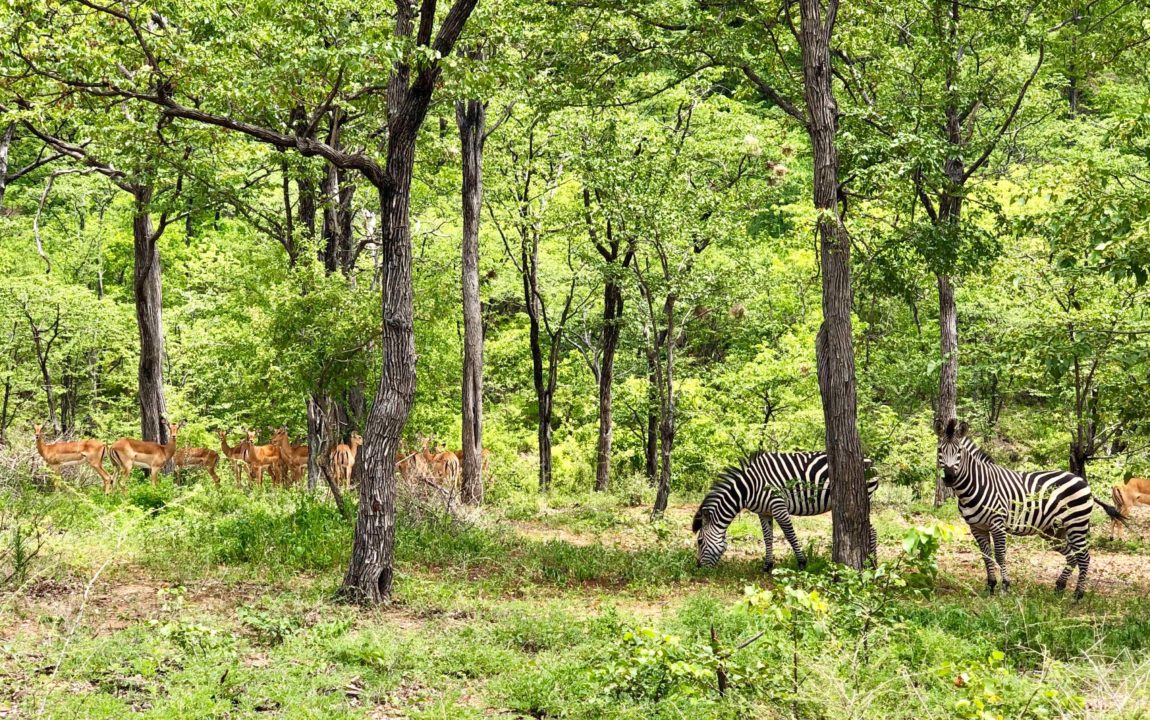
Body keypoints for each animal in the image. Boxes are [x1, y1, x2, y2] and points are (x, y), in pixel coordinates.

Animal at [690, 448, 878, 572]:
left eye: (699, 541)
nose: (698, 567)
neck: (748, 488)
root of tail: (869, 460)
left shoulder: (778, 506)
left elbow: (789, 535)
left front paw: (802, 563)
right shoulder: (764, 512)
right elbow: (767, 538)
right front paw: (767, 565)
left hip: (864, 498)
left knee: (871, 530)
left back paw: (874, 564)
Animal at [933, 418, 1122, 598]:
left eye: (959, 451)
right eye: (940, 450)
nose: (949, 477)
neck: (975, 484)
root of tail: (1081, 480)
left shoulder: (997, 523)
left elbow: (1000, 554)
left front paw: (1004, 587)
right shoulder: (976, 527)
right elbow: (986, 556)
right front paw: (990, 586)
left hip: (1077, 524)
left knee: (1084, 557)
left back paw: (1078, 594)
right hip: (1054, 532)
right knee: (1072, 557)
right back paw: (1059, 587)